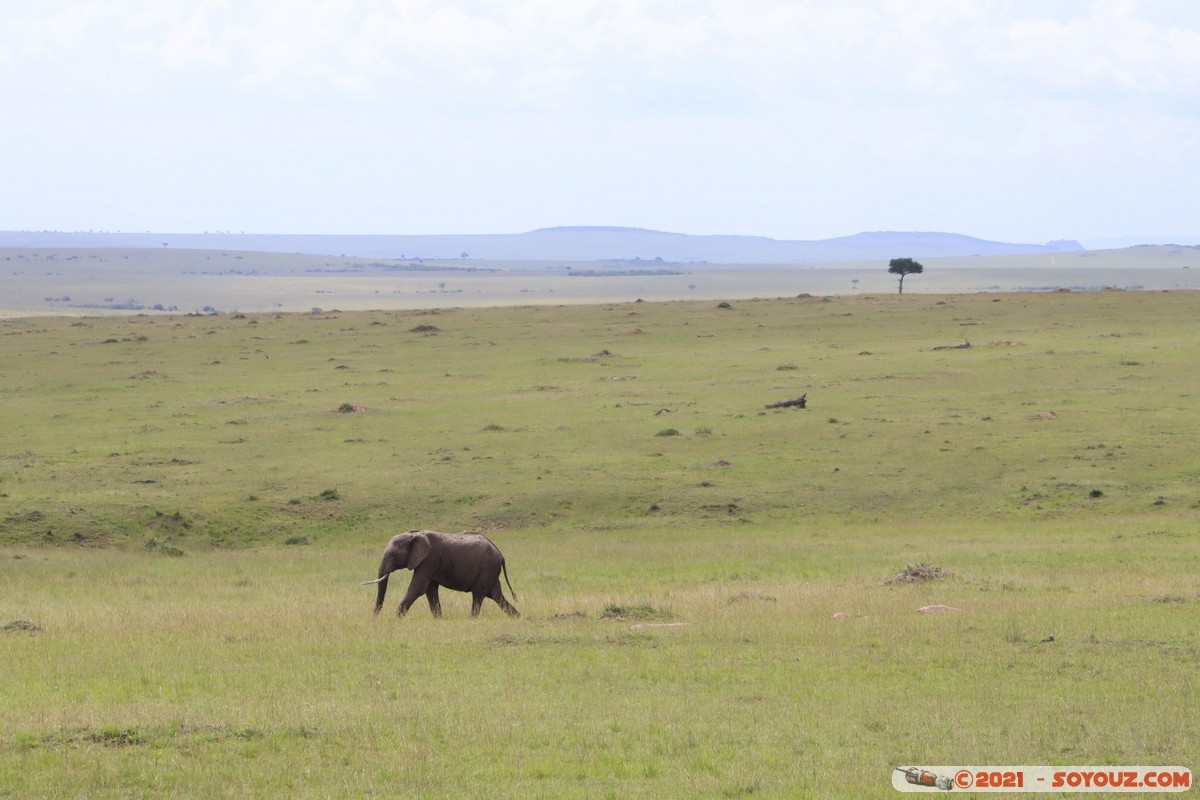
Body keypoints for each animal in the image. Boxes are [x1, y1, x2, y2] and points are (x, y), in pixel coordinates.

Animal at [360, 532, 520, 618]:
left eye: (394, 554)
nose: (374, 617)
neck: (413, 534)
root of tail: (500, 554)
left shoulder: (428, 561)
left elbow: (417, 588)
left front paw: (397, 618)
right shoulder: (430, 565)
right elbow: (430, 590)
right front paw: (438, 619)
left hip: (487, 568)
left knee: (479, 595)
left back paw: (471, 619)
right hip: (491, 571)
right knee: (495, 595)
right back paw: (518, 617)